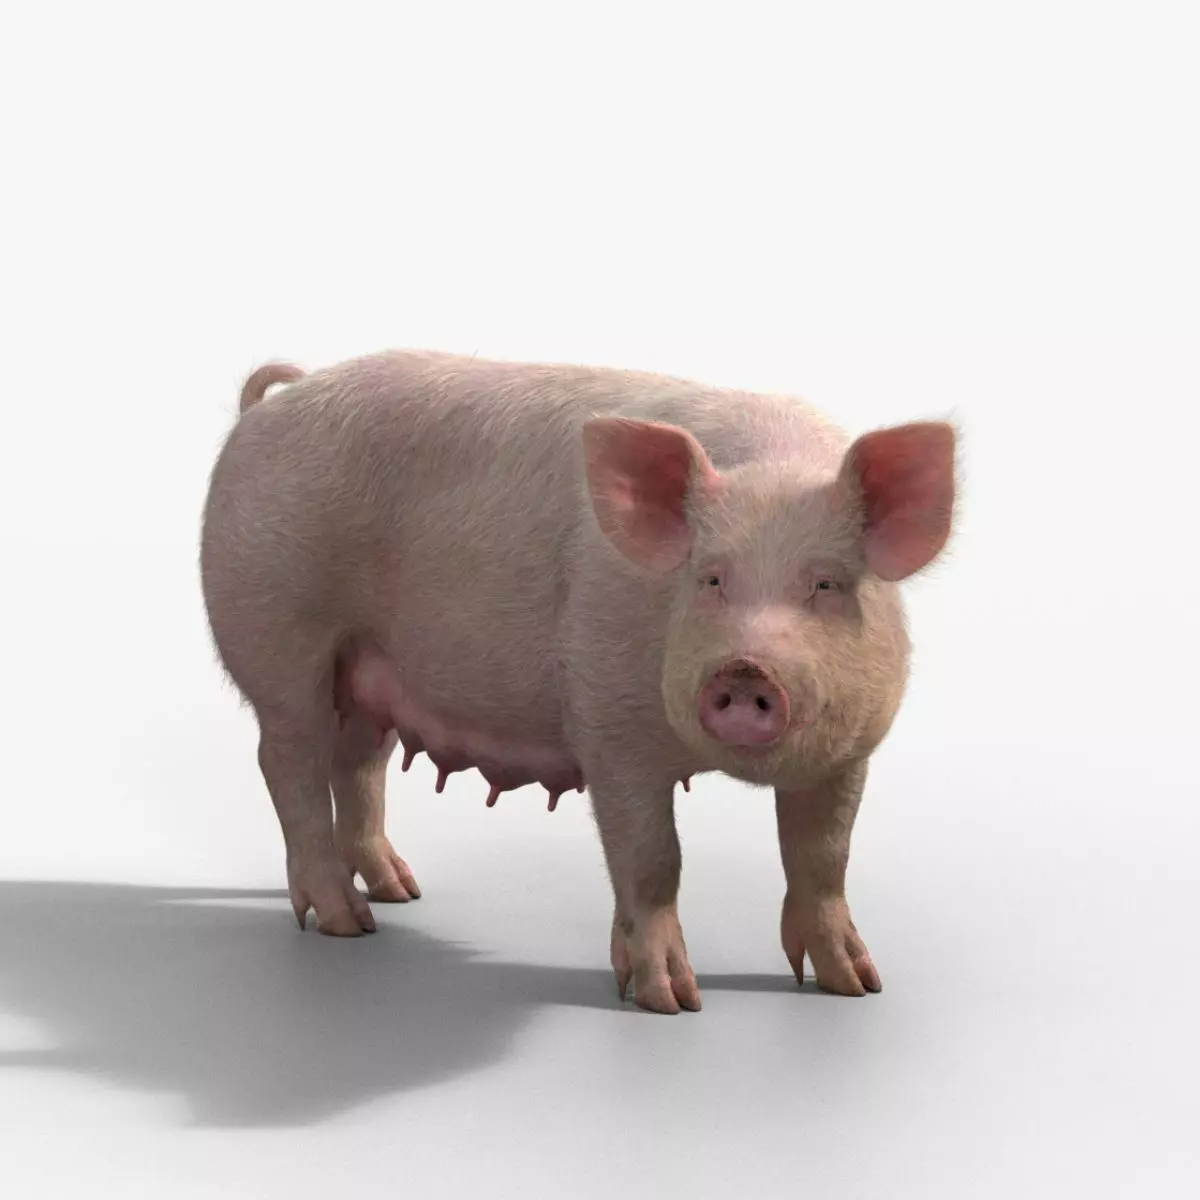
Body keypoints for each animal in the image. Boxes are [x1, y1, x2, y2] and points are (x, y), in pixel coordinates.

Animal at [200, 350, 956, 1014]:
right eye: (708, 578)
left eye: (826, 584)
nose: (745, 670)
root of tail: (275, 403)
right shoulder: (608, 720)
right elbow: (651, 858)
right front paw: (671, 1002)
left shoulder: (851, 751)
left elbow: (823, 857)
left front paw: (858, 986)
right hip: (278, 633)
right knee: (288, 762)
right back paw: (347, 923)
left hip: (369, 671)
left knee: (359, 765)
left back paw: (401, 892)